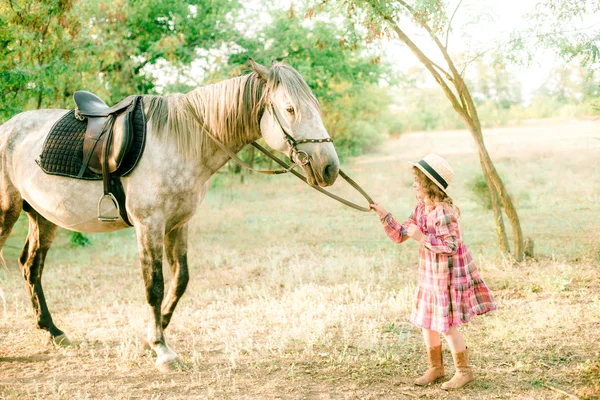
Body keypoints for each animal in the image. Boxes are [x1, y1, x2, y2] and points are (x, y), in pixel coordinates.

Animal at [0, 60, 340, 372]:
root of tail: (8, 128)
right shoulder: (149, 225)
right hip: (8, 213)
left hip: (42, 217)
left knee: (31, 267)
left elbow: (180, 280)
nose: (329, 168)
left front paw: (151, 336)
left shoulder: (177, 225)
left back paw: (53, 331)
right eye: (291, 109)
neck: (180, 141)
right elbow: (155, 285)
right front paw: (162, 349)